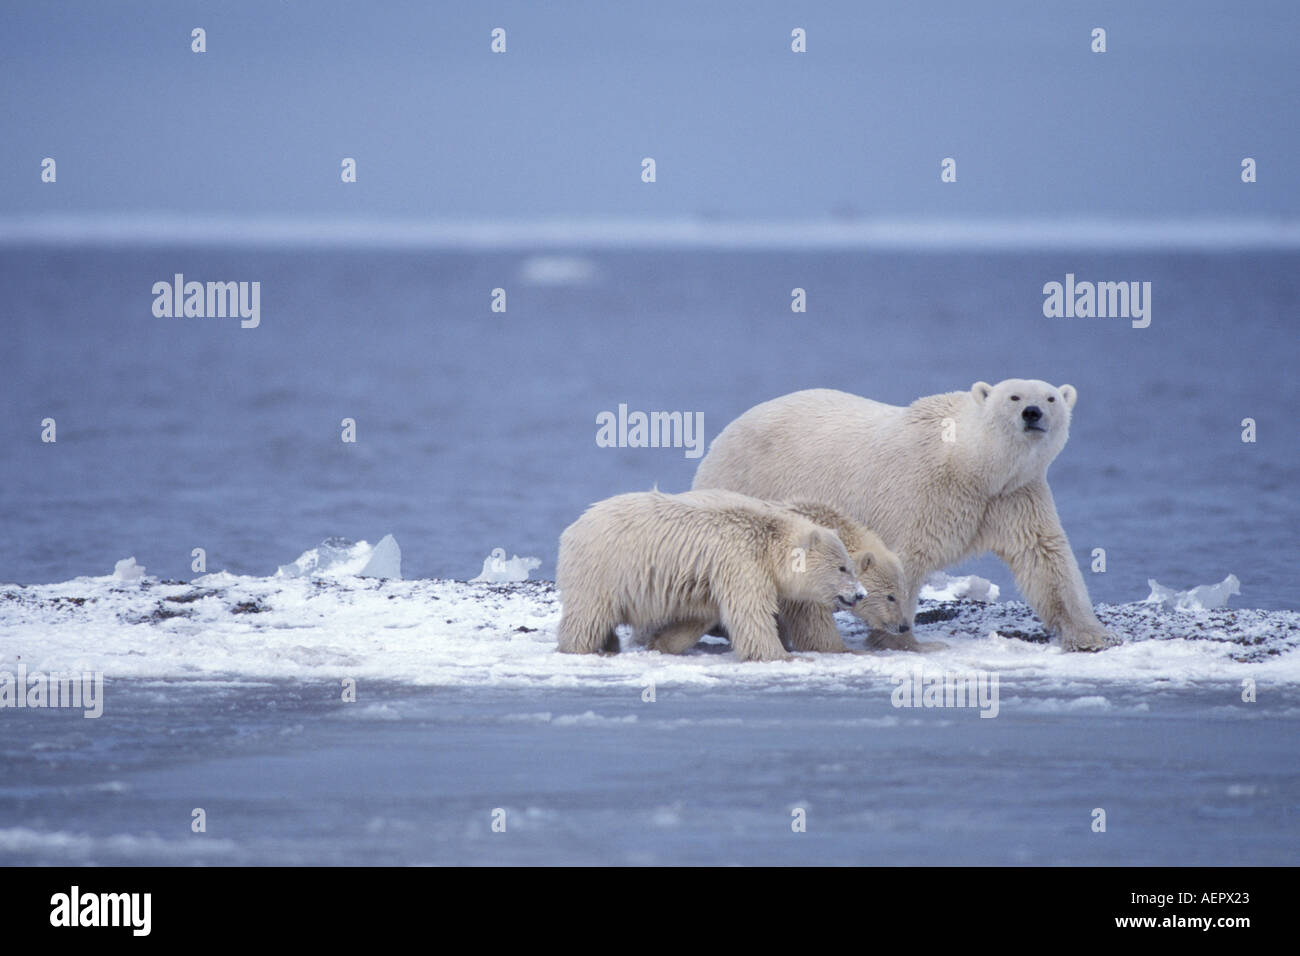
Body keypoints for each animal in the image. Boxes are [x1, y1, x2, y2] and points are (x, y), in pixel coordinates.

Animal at [696, 377, 1123, 655]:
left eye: (1051, 398)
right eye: (1013, 396)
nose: (1032, 413)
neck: (972, 465)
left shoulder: (1014, 496)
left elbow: (1045, 557)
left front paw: (1094, 636)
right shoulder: (923, 491)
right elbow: (906, 558)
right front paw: (905, 639)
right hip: (749, 478)